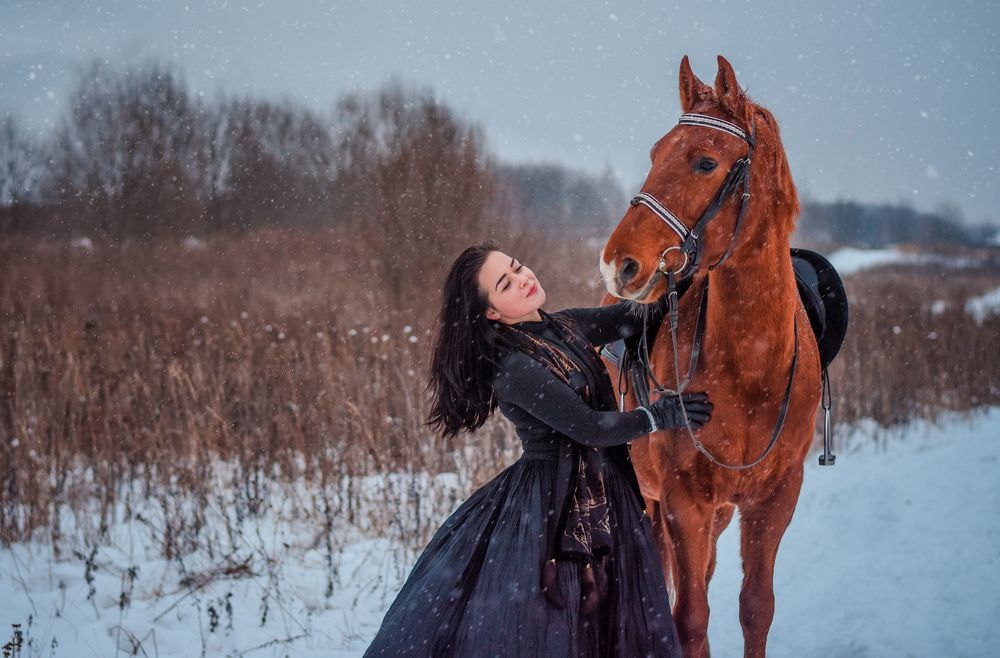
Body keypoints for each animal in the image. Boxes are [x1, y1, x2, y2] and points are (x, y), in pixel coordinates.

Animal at [599, 55, 822, 658]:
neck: (751, 368)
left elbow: (756, 608)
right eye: (656, 152)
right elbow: (689, 620)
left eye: (705, 161)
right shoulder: (684, 501)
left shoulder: (773, 499)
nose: (619, 263)